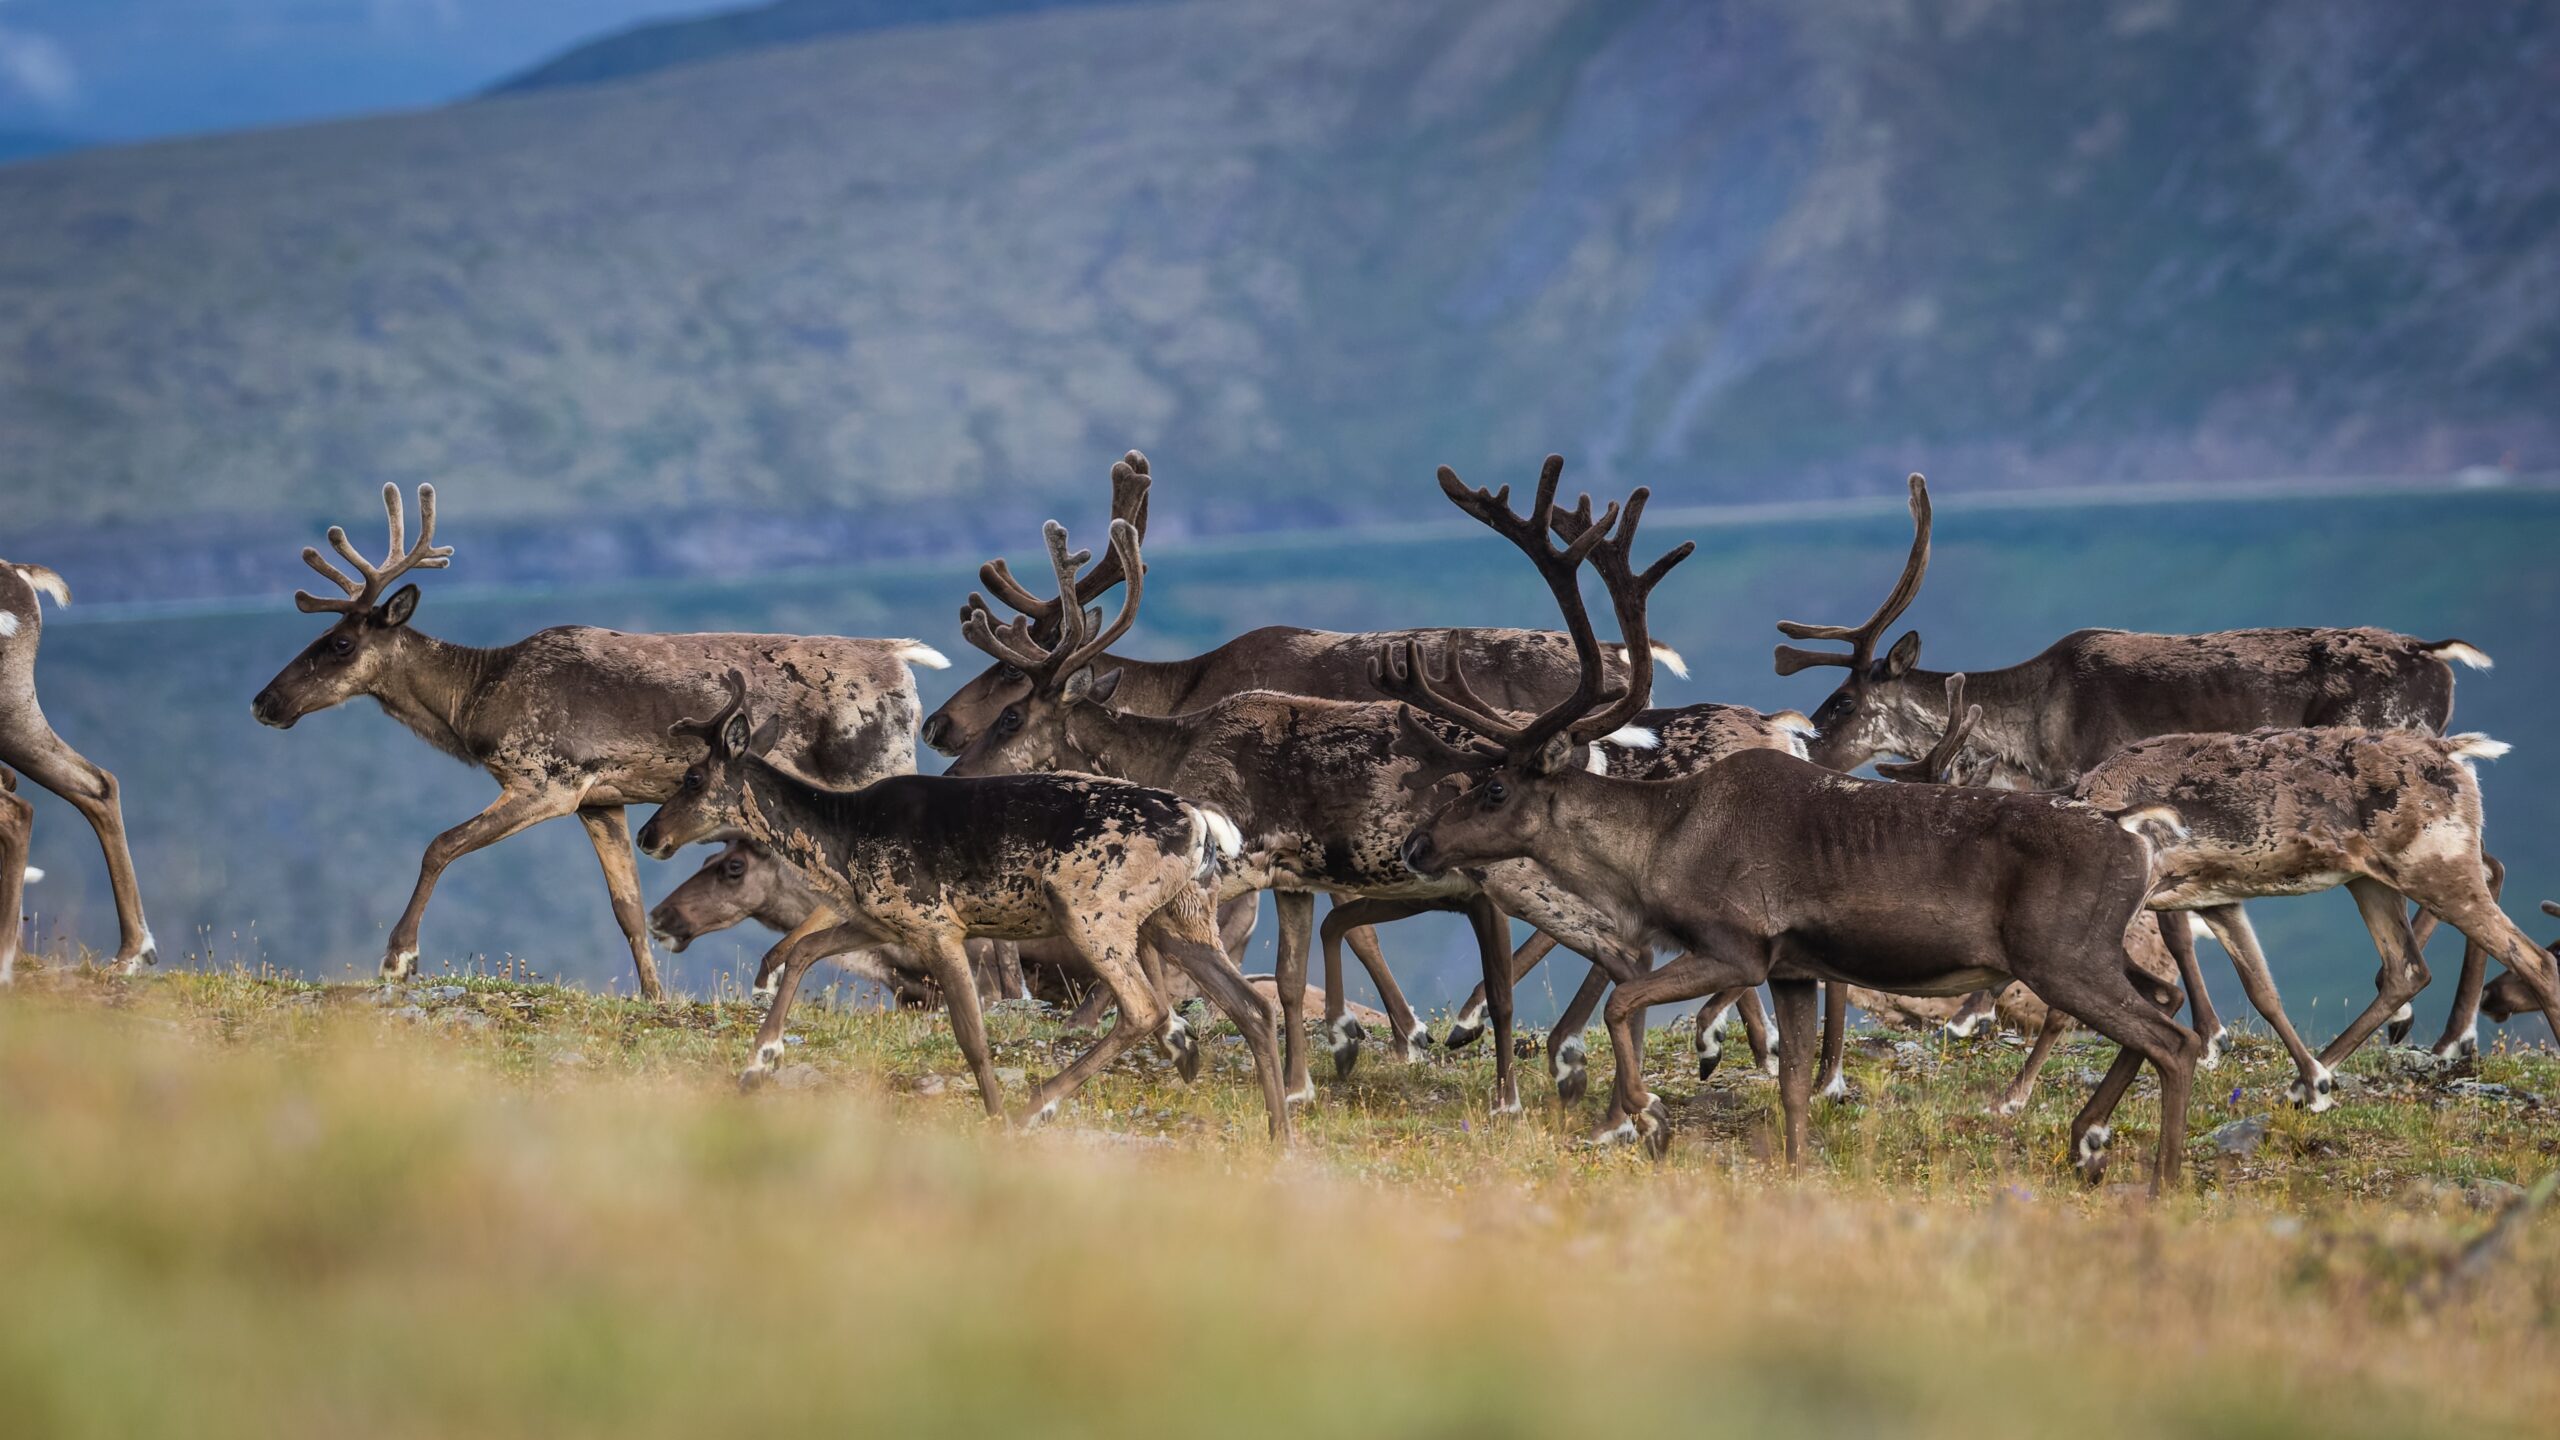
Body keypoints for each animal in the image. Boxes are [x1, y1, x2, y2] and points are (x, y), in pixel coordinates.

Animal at [632, 671, 1290, 1132]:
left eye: (692, 778)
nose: (648, 836)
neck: (841, 837)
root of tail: (1201, 821)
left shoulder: (936, 923)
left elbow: (972, 1037)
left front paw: (994, 1117)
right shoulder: (883, 920)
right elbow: (801, 952)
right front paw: (754, 1065)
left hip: (1093, 908)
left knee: (1145, 1008)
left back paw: (1037, 1107)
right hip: (1177, 916)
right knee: (1253, 1006)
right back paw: (1279, 1135)